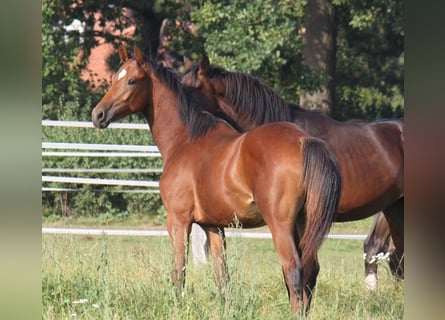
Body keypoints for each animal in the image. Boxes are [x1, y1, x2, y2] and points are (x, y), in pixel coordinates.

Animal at [90, 45, 340, 316]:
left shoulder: (178, 221)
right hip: (304, 224)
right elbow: (222, 276)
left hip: (281, 226)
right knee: (309, 271)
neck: (186, 140)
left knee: (294, 270)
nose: (98, 115)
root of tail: (304, 141)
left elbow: (179, 271)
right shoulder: (214, 226)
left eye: (132, 80)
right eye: (114, 79)